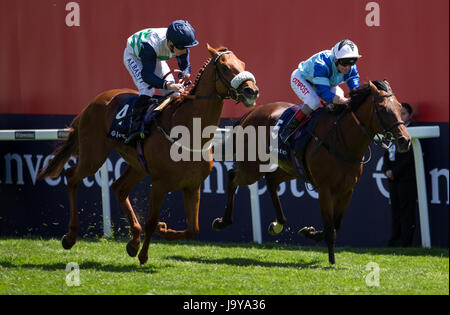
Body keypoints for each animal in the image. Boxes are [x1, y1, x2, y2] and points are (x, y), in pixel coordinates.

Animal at [37, 45, 258, 266]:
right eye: (225, 67)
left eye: (243, 64)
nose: (252, 91)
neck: (189, 131)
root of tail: (92, 103)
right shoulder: (160, 183)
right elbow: (151, 222)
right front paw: (144, 254)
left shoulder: (192, 185)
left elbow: (192, 229)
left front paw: (160, 230)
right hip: (94, 155)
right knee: (72, 176)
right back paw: (71, 237)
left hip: (137, 165)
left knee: (119, 188)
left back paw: (133, 240)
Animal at [213, 81, 410, 264]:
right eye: (383, 108)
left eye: (399, 107)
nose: (404, 140)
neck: (342, 141)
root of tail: (251, 113)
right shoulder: (324, 189)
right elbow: (330, 228)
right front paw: (331, 260)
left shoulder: (347, 190)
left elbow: (336, 224)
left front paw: (311, 232)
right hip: (252, 167)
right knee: (232, 177)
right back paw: (223, 221)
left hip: (290, 168)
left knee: (271, 182)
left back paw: (278, 223)